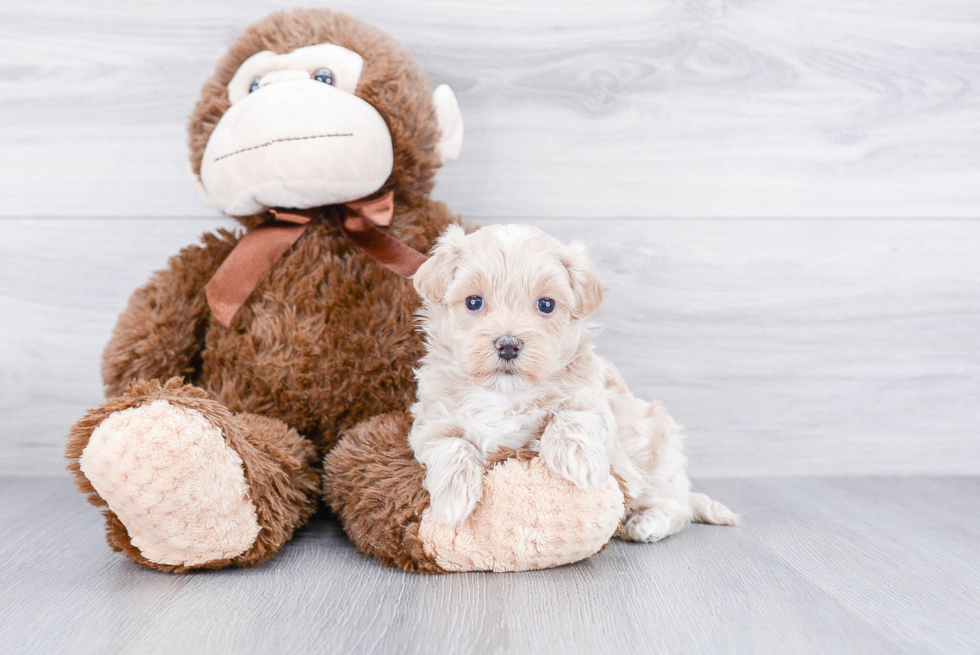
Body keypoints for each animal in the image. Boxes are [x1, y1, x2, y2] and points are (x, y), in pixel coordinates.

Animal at [406, 226, 736, 544]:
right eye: (473, 302)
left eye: (546, 304)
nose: (508, 345)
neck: (505, 394)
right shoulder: (431, 421)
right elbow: (449, 444)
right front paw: (453, 497)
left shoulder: (595, 396)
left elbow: (573, 413)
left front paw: (579, 463)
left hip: (662, 453)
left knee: (676, 505)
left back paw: (648, 522)